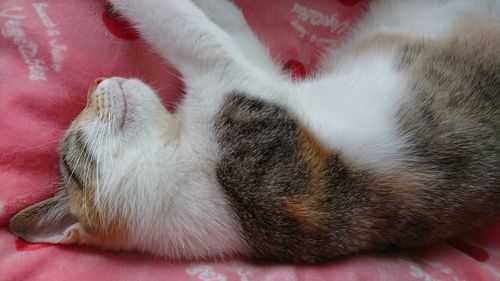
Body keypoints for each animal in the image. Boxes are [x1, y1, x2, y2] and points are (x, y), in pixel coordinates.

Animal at [7, 0, 500, 262]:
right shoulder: (249, 118)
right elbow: (192, 32)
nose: (94, 81)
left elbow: (233, 33)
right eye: (73, 142)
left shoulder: (262, 78)